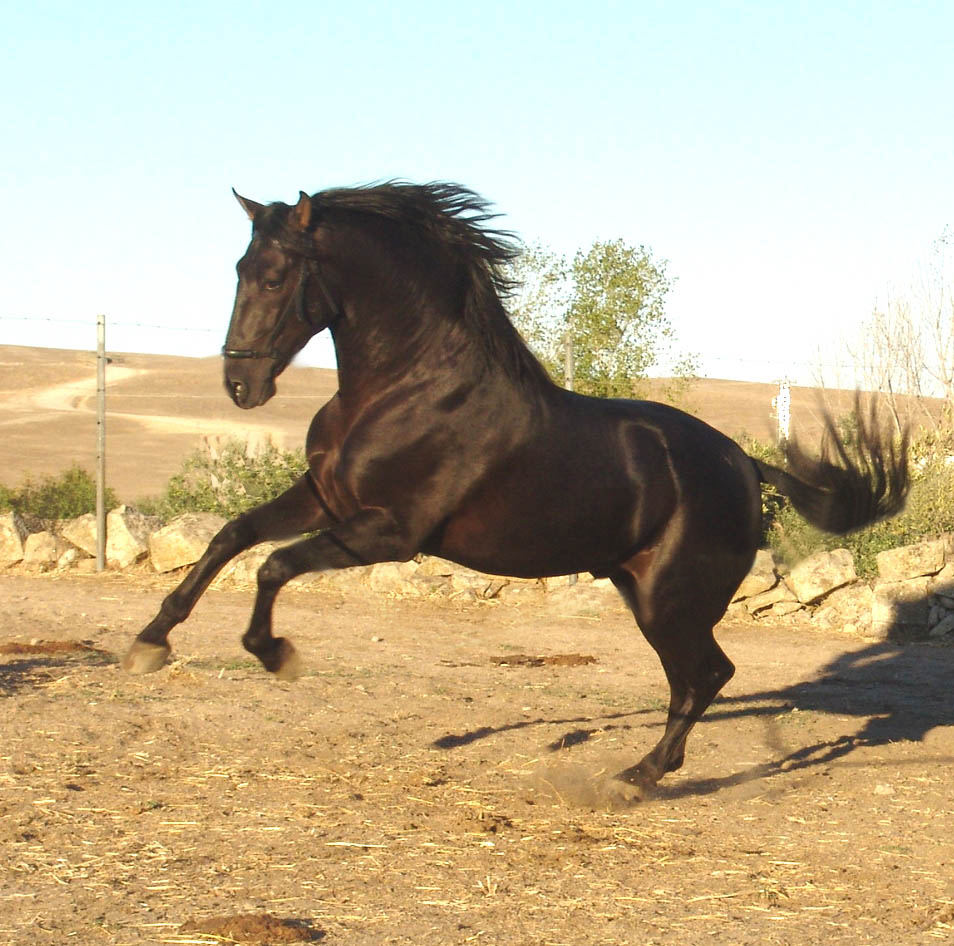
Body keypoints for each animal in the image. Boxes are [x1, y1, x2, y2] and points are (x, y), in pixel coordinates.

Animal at [121, 183, 908, 788]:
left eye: (276, 276)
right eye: (240, 265)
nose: (240, 384)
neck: (406, 387)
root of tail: (746, 465)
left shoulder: (390, 532)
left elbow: (275, 565)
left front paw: (276, 655)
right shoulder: (324, 498)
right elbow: (233, 536)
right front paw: (149, 642)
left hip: (670, 599)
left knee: (708, 675)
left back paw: (638, 778)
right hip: (642, 590)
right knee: (695, 679)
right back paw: (645, 772)